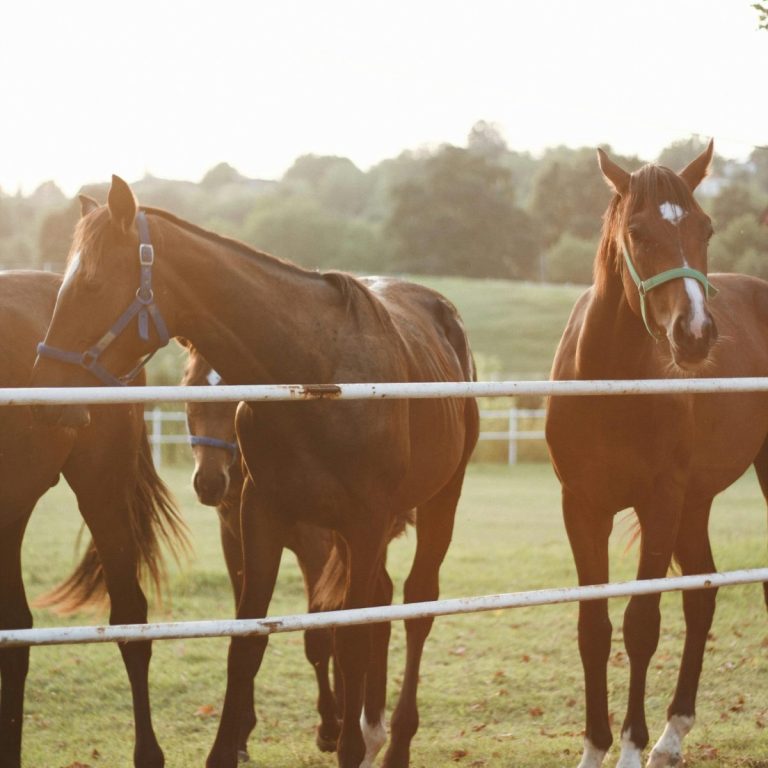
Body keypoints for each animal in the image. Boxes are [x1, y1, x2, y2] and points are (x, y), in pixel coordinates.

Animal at [181, 343, 341, 758]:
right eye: (190, 388)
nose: (209, 483)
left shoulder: (316, 548)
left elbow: (318, 636)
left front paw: (330, 727)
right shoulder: (237, 544)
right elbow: (247, 625)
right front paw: (240, 733)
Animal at [546, 140, 768, 768]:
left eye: (706, 227)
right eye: (639, 232)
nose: (695, 336)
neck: (610, 383)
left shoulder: (660, 503)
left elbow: (641, 623)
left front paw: (629, 745)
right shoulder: (583, 508)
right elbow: (593, 626)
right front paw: (595, 746)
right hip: (696, 503)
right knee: (703, 594)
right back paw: (674, 733)